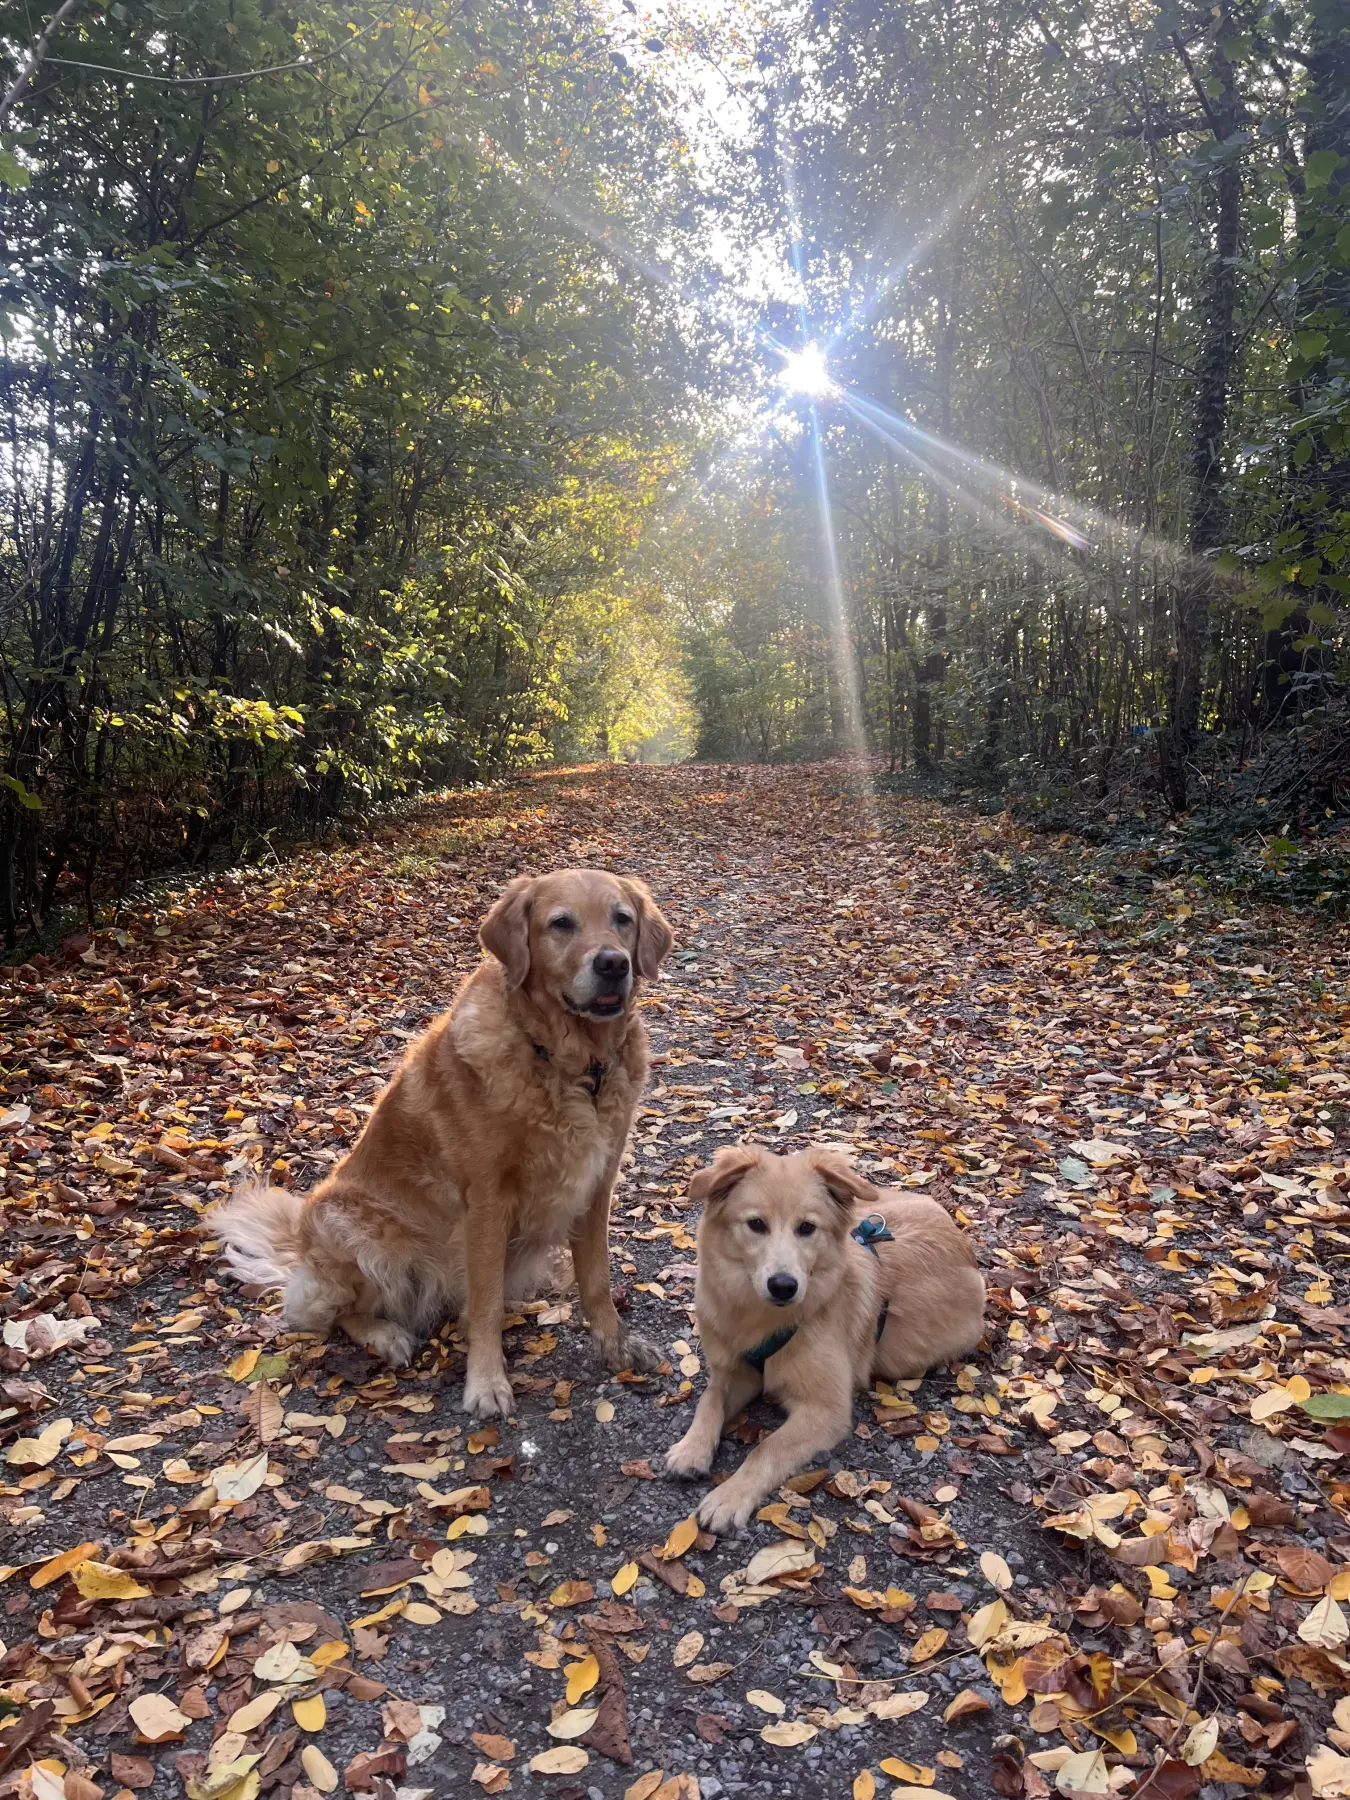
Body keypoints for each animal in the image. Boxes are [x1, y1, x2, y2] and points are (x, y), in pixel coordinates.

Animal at [216, 864, 676, 1411]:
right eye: (561, 923)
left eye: (621, 918)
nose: (613, 964)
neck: (572, 1065)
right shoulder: (487, 1201)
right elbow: (485, 1304)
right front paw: (487, 1382)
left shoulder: (595, 1185)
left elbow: (598, 1281)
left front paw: (617, 1344)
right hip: (356, 1225)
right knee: (332, 1314)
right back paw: (385, 1335)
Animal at [666, 1144, 986, 1526]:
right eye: (756, 1224)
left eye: (807, 1228)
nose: (783, 1286)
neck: (761, 1319)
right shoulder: (737, 1373)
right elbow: (709, 1399)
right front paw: (691, 1448)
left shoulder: (826, 1409)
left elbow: (767, 1447)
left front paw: (729, 1496)